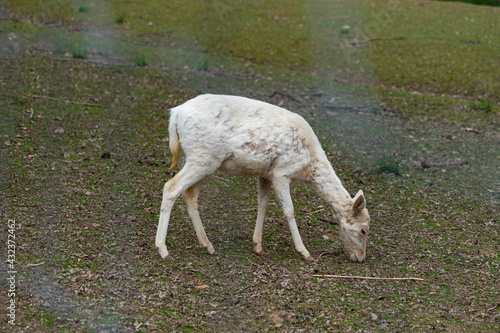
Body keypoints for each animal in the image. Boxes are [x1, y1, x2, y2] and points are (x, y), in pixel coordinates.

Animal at [156, 94, 372, 262]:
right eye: (363, 230)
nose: (361, 258)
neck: (308, 165)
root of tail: (176, 113)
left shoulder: (266, 173)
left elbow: (263, 203)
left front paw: (258, 246)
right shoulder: (282, 171)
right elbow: (289, 210)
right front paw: (305, 252)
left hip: (200, 159)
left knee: (190, 195)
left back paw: (208, 245)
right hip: (203, 157)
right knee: (170, 186)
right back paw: (162, 249)